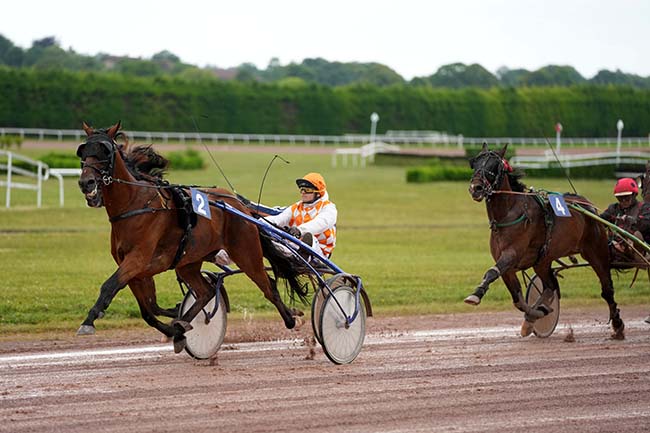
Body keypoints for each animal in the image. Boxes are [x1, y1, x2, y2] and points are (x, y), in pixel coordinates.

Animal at [77, 120, 306, 352]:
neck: (135, 205)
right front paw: (174, 326)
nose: (86, 182)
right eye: (83, 152)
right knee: (206, 292)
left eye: (105, 152)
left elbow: (110, 286)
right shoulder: (135, 269)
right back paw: (181, 325)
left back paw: (291, 319)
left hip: (246, 253)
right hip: (189, 263)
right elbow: (148, 310)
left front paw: (88, 322)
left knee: (269, 286)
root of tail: (240, 206)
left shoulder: (138, 259)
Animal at [464, 143, 620, 340]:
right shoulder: (509, 266)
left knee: (607, 289)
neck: (509, 214)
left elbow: (492, 272)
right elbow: (518, 299)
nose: (476, 188)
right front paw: (536, 315)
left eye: (494, 166)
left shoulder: (512, 254)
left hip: (596, 251)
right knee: (550, 286)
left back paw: (618, 326)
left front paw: (476, 294)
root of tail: (588, 206)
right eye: (475, 163)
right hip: (543, 260)